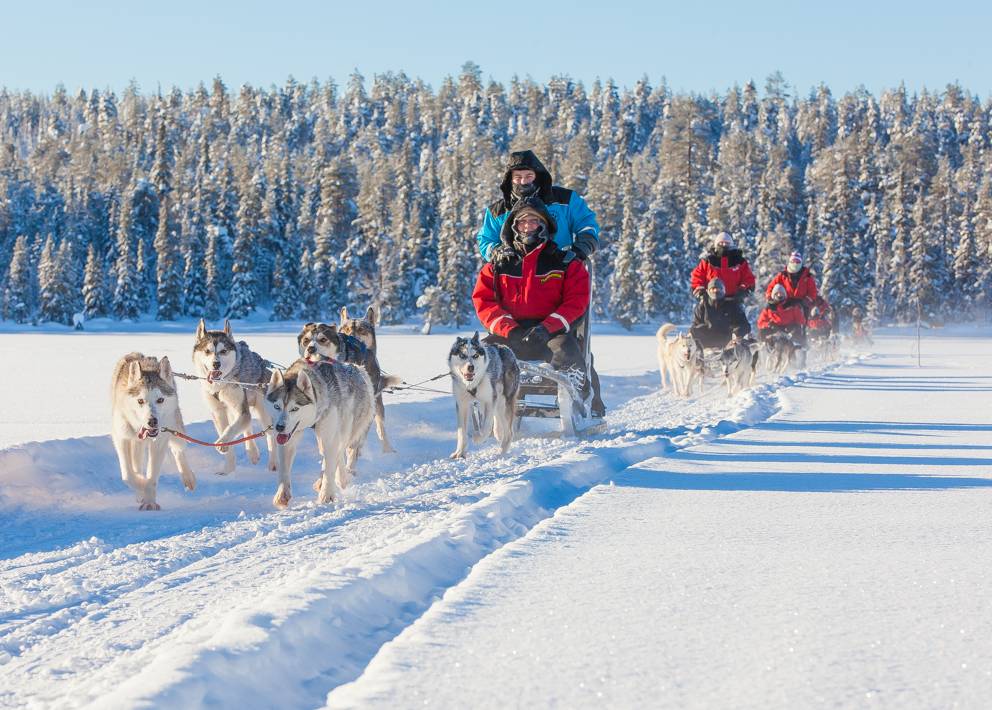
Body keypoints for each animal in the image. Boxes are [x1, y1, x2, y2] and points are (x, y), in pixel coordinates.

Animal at [110, 354, 196, 508]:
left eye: (160, 400)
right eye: (140, 401)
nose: (152, 421)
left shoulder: (159, 442)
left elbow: (152, 476)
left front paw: (149, 501)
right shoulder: (121, 438)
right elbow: (127, 475)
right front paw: (141, 486)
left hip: (175, 428)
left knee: (178, 450)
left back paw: (188, 478)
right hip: (135, 441)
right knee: (136, 464)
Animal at [193, 320, 276, 476]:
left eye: (223, 351)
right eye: (207, 351)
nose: (216, 363)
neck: (220, 385)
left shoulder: (240, 409)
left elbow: (231, 429)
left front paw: (222, 442)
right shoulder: (218, 412)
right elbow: (229, 433)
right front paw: (228, 470)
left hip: (263, 411)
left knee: (270, 434)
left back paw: (274, 464)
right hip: (234, 410)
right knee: (246, 426)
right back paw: (252, 452)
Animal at [262, 358, 374, 508]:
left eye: (294, 408)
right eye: (277, 406)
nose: (279, 427)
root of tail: (358, 369)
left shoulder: (330, 437)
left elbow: (329, 467)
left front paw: (326, 495)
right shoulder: (288, 440)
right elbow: (284, 470)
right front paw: (282, 495)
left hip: (345, 429)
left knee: (337, 453)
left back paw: (338, 479)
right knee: (334, 454)